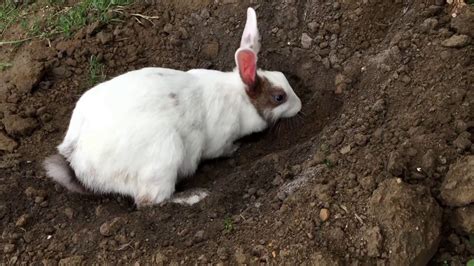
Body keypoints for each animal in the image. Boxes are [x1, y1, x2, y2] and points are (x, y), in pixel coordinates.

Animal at [45, 7, 304, 208]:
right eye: (279, 97)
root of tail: (78, 162)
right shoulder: (220, 140)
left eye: (283, 76)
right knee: (150, 201)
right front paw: (236, 149)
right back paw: (195, 196)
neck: (241, 99)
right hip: (164, 155)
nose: (300, 106)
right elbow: (223, 149)